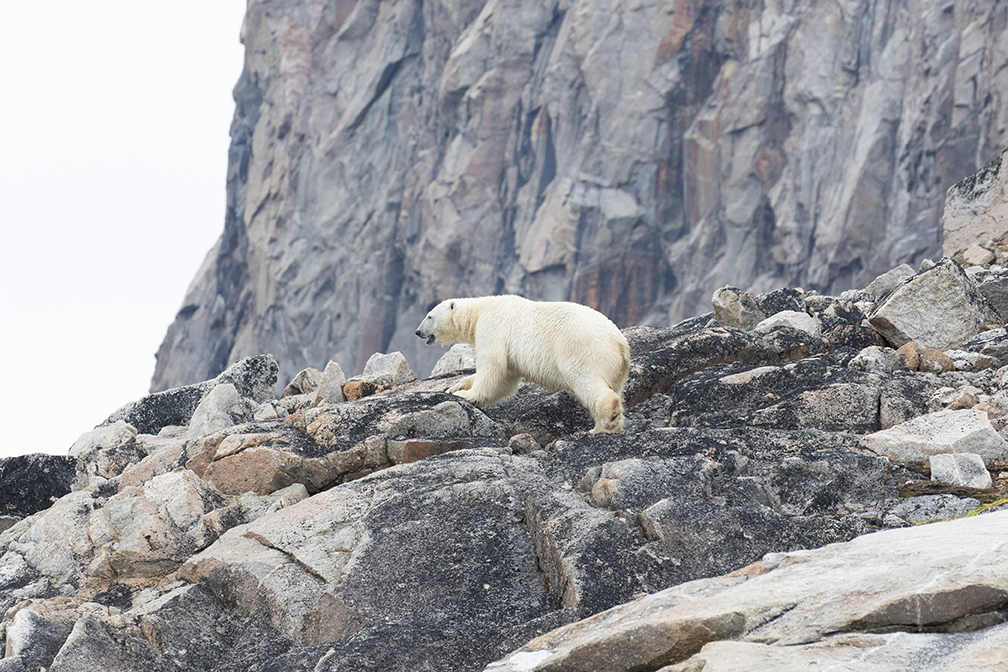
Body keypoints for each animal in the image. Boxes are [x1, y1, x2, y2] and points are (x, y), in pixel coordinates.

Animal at [415, 295, 630, 433]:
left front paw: (466, 395)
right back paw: (602, 427)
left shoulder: (492, 326)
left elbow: (492, 365)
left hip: (582, 349)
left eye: (429, 315)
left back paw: (607, 419)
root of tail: (621, 343)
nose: (417, 332)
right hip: (617, 368)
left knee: (586, 380)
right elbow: (505, 380)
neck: (480, 309)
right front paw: (455, 386)